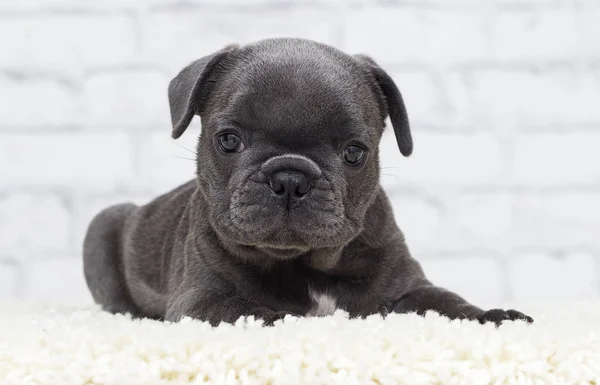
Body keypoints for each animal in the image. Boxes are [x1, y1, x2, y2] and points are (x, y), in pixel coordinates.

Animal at [82, 37, 532, 326]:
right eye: (229, 140)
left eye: (354, 152)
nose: (289, 178)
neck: (306, 264)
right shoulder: (200, 300)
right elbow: (248, 312)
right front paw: (284, 317)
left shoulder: (407, 286)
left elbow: (446, 302)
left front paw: (492, 315)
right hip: (103, 226)